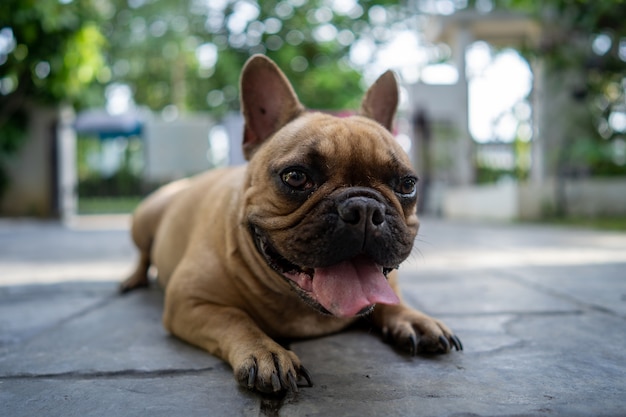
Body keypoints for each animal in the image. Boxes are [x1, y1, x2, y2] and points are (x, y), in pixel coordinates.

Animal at [122, 53, 460, 392]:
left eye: (407, 184)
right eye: (296, 177)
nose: (364, 208)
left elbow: (390, 301)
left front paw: (415, 319)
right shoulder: (189, 301)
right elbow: (236, 319)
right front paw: (267, 352)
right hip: (146, 217)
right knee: (142, 254)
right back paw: (132, 280)